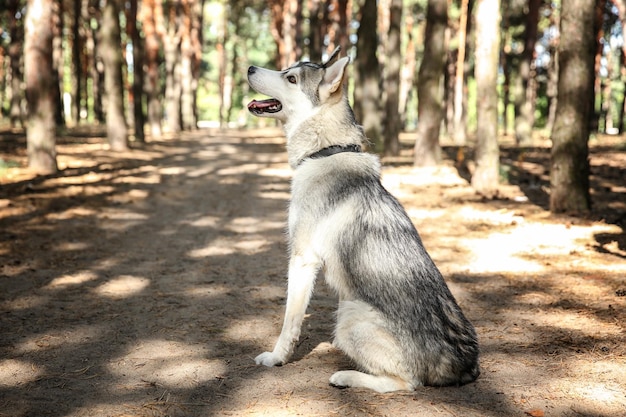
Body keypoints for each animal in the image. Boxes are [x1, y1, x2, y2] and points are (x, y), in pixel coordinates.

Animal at [245, 47, 478, 392]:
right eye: (287, 70)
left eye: (291, 78)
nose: (249, 68)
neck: (326, 150)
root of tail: (466, 365)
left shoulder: (302, 259)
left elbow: (289, 323)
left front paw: (277, 358)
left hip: (348, 315)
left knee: (407, 383)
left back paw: (344, 376)